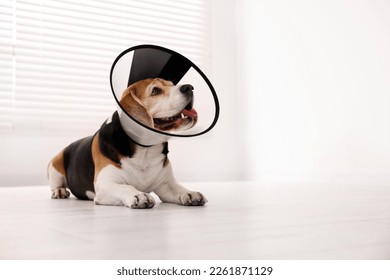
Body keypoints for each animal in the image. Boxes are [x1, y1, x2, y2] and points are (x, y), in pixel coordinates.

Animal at [47, 77, 207, 209]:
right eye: (155, 90)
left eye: (172, 84)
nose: (189, 87)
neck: (145, 150)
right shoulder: (105, 184)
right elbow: (125, 187)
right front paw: (139, 195)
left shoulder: (165, 184)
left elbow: (178, 188)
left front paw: (190, 193)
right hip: (55, 165)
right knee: (55, 184)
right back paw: (59, 191)